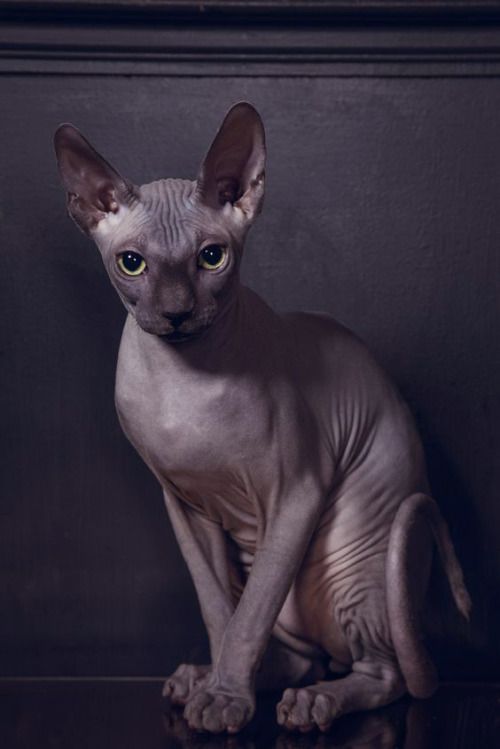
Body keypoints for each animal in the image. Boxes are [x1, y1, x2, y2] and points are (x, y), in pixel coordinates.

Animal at [53, 102, 468, 732]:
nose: (175, 313)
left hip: (352, 563)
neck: (186, 382)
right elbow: (220, 611)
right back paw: (217, 678)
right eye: (131, 264)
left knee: (384, 673)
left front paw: (226, 699)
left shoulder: (296, 496)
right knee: (301, 655)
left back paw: (318, 700)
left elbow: (249, 617)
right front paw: (222, 688)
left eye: (211, 256)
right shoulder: (183, 506)